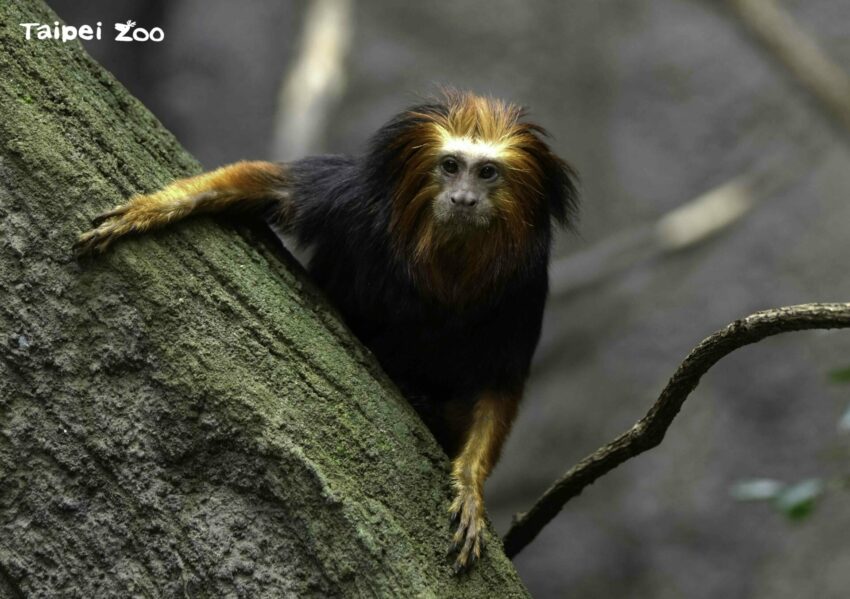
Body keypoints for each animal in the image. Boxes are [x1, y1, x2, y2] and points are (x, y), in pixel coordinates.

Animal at [74, 89, 576, 572]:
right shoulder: (354, 203)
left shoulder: (523, 292)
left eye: (487, 173)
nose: (464, 199)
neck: (449, 256)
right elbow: (272, 185)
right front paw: (153, 208)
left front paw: (469, 486)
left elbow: (499, 384)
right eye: (450, 166)